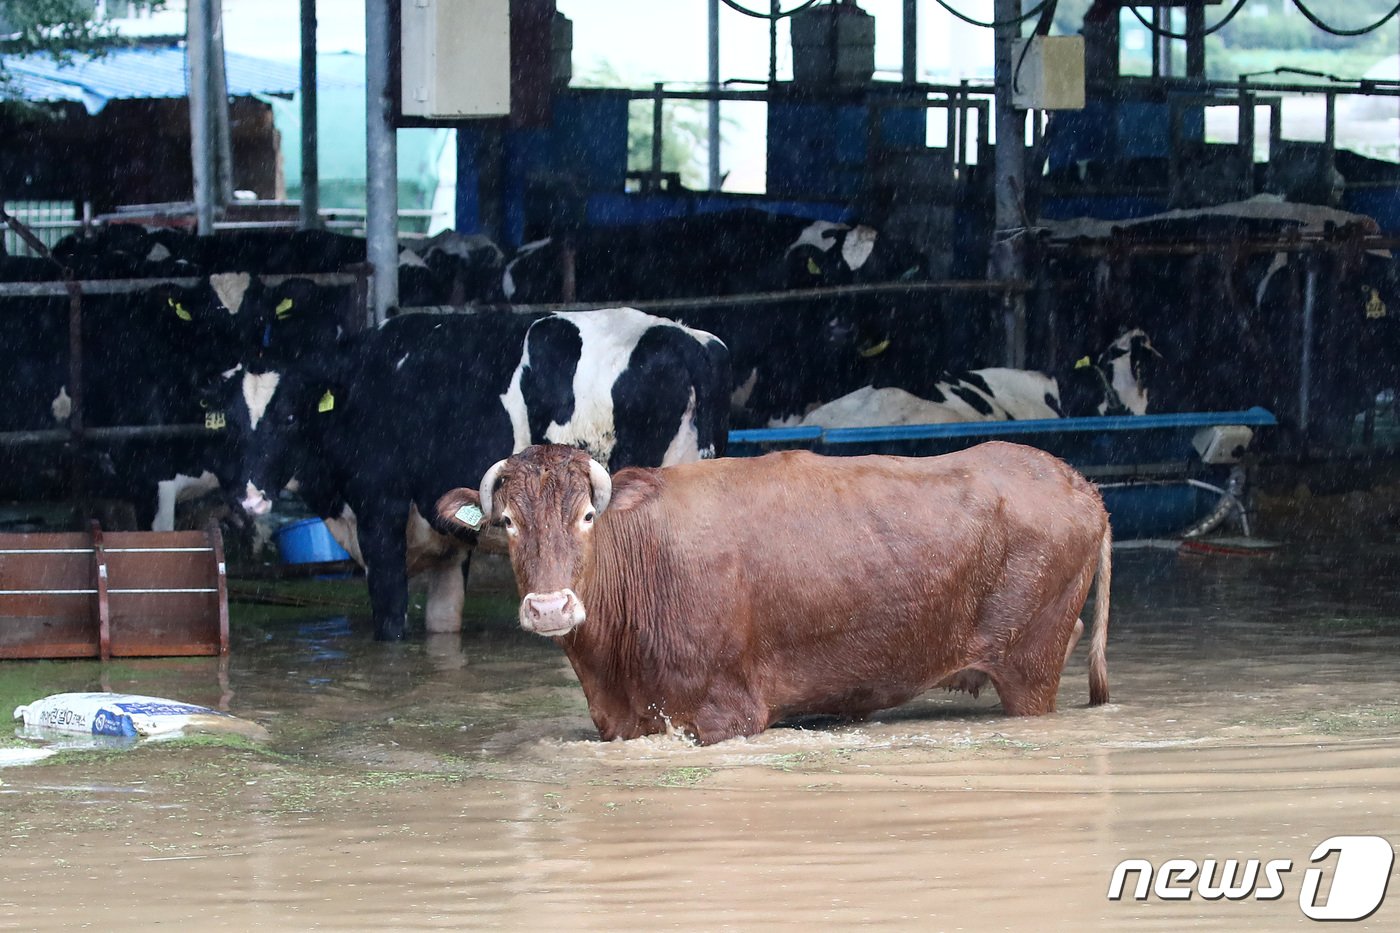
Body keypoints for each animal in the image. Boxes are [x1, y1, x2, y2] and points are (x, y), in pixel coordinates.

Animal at [215, 305, 733, 638]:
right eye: (230, 422)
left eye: (289, 416)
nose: (247, 497)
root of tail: (686, 338)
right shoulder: (448, 536)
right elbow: (444, 623)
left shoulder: (380, 515)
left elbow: (390, 623)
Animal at [431, 442, 1108, 739]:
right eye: (507, 521)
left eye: (588, 516)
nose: (550, 606)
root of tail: (1076, 480)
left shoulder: (726, 714)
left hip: (1030, 665)